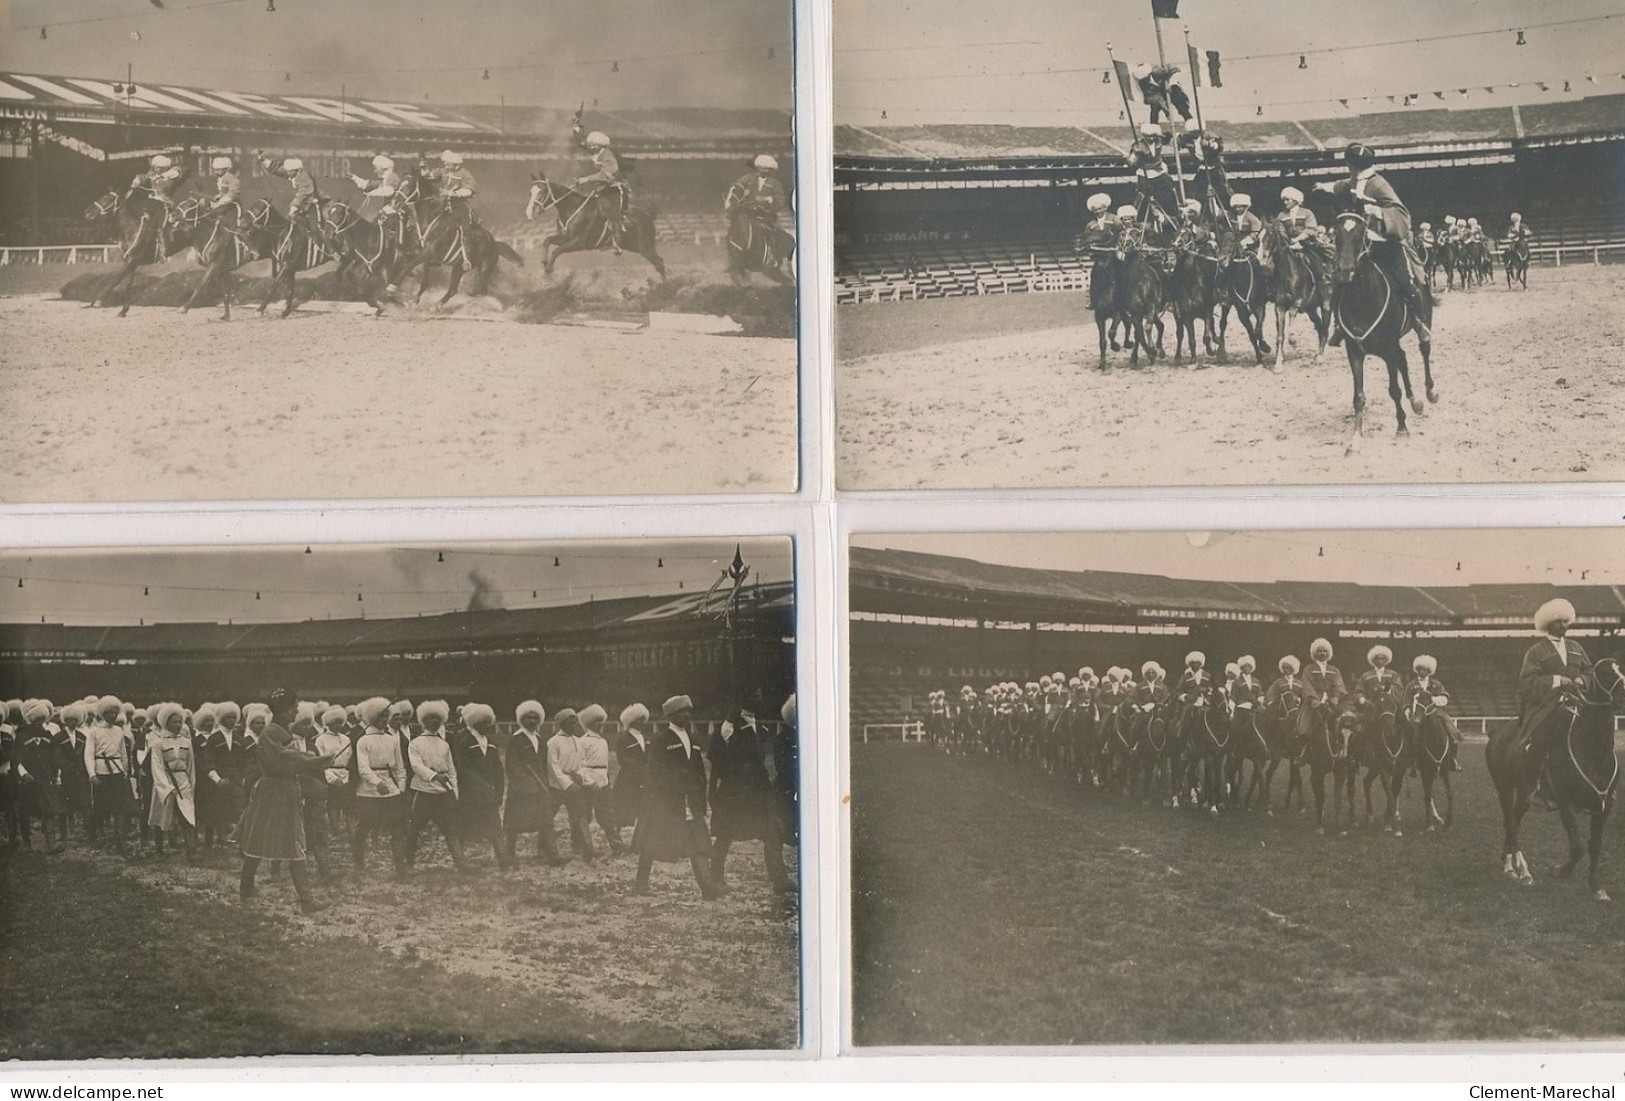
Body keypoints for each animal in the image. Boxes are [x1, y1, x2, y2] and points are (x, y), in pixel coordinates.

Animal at [526, 174, 666, 280]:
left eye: (542, 191)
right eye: (530, 192)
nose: (529, 212)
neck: (572, 207)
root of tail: (648, 215)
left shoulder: (578, 242)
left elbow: (556, 250)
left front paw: (548, 269)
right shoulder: (565, 237)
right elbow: (547, 240)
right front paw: (544, 261)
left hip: (645, 247)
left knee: (659, 263)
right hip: (635, 246)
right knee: (659, 262)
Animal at [1254, 222, 1332, 373]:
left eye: (1271, 235)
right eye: (1258, 237)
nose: (1261, 260)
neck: (1289, 273)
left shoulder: (1297, 303)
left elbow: (1290, 331)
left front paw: (1294, 342)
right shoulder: (1280, 307)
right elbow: (1280, 336)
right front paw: (1278, 363)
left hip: (1326, 304)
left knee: (1325, 328)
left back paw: (1320, 356)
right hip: (1311, 310)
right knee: (1320, 326)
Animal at [1332, 211, 1436, 457]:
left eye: (1360, 233)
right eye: (1336, 233)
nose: (1345, 270)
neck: (1363, 300)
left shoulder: (1388, 350)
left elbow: (1394, 390)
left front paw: (1401, 427)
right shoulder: (1355, 353)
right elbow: (1359, 397)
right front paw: (1356, 439)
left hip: (1423, 323)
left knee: (1424, 350)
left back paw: (1429, 393)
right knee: (1404, 360)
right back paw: (1416, 402)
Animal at [1404, 685, 1456, 831]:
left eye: (1428, 700)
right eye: (1415, 700)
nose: (1416, 719)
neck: (1435, 739)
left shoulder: (1444, 769)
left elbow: (1449, 793)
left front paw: (1449, 820)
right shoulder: (1426, 770)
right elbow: (1427, 796)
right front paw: (1429, 824)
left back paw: (1438, 818)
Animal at [1488, 659, 1625, 902]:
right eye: (1606, 672)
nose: (1624, 695)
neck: (1593, 750)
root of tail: (1496, 733)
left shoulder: (1604, 806)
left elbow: (1595, 846)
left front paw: (1597, 887)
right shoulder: (1566, 804)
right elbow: (1578, 848)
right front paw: (1559, 871)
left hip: (1523, 793)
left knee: (1513, 820)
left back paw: (1510, 866)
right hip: (1504, 787)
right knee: (1511, 822)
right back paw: (1523, 872)